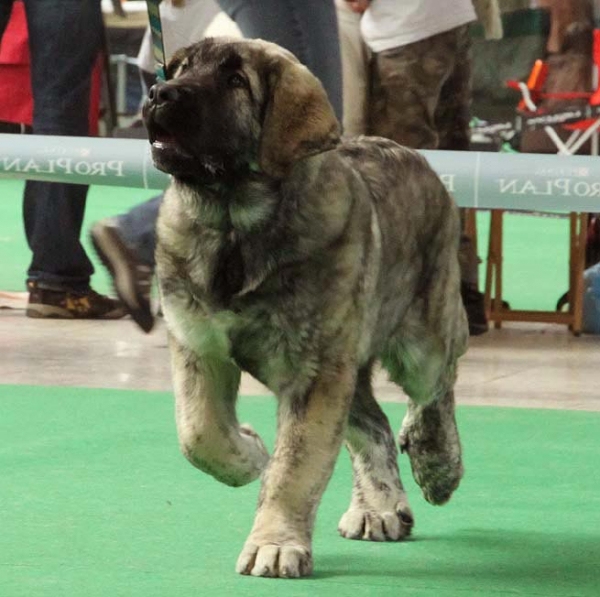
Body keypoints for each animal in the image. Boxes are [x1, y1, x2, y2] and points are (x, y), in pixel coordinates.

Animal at [142, 36, 468, 576]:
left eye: (235, 81)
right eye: (181, 68)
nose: (160, 93)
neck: (235, 224)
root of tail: (412, 154)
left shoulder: (313, 372)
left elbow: (296, 466)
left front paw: (274, 543)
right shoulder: (198, 345)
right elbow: (198, 431)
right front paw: (249, 454)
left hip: (422, 335)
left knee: (438, 386)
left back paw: (437, 462)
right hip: (349, 364)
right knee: (374, 425)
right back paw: (379, 507)